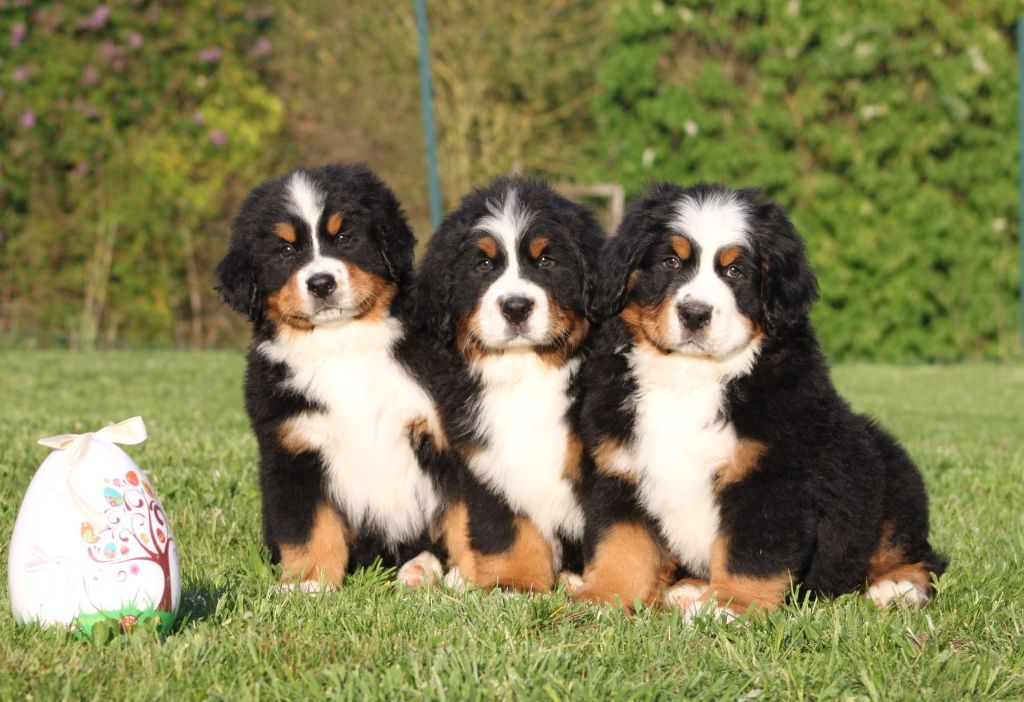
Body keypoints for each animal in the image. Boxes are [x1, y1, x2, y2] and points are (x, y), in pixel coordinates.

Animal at [218, 163, 450, 593]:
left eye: (345, 237)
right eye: (286, 250)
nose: (321, 282)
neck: (342, 345)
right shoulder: (294, 451)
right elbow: (309, 528)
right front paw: (309, 584)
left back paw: (420, 568)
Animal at [415, 176, 602, 593]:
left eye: (546, 260)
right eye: (484, 264)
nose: (516, 307)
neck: (524, 369)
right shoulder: (487, 462)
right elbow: (510, 530)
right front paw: (515, 585)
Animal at [573, 184, 946, 618]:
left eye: (736, 271)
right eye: (670, 261)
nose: (695, 313)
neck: (690, 375)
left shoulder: (770, 478)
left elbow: (750, 554)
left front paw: (728, 607)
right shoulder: (622, 470)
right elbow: (621, 546)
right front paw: (603, 600)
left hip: (890, 484)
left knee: (919, 555)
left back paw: (898, 587)